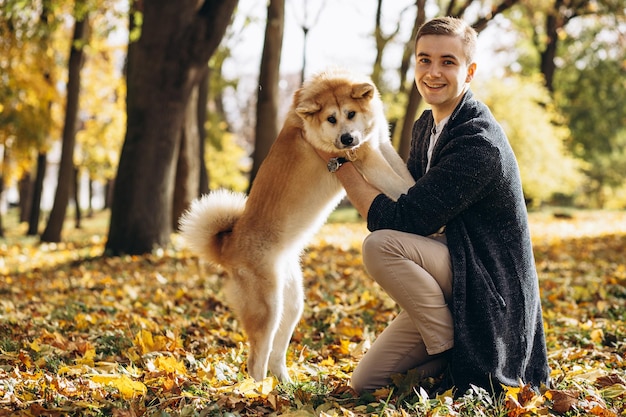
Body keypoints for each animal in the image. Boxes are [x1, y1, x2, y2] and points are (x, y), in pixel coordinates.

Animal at [178, 66, 414, 382]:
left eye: (351, 113)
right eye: (331, 118)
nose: (347, 139)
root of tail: (227, 246)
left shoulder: (382, 146)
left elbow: (405, 177)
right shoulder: (366, 156)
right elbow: (399, 187)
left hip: (291, 302)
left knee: (276, 355)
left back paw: (287, 385)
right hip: (268, 307)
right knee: (256, 361)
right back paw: (258, 390)